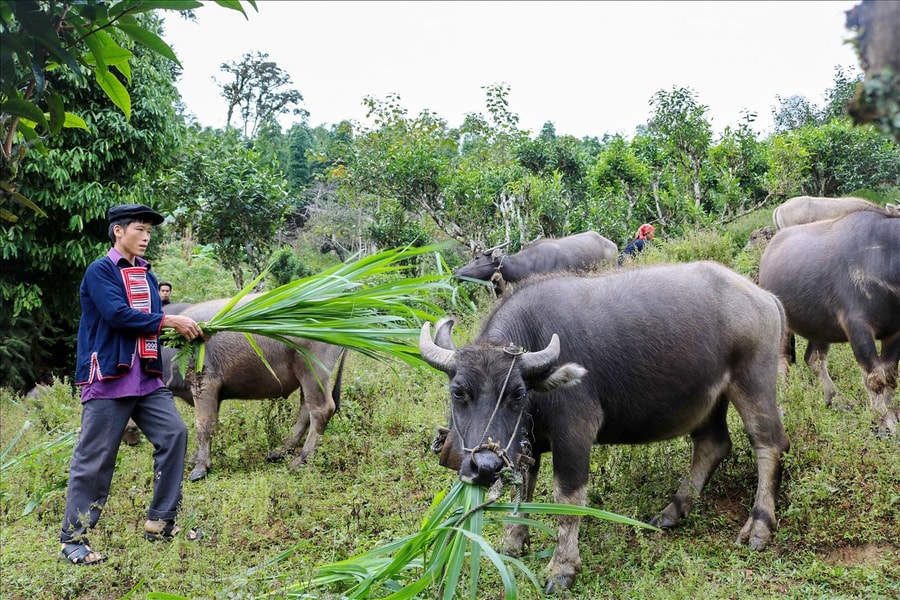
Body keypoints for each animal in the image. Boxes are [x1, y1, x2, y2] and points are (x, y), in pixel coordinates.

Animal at [162, 296, 344, 482]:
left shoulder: (206, 383)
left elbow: (204, 424)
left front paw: (200, 467)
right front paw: (195, 458)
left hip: (313, 370)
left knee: (321, 410)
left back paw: (299, 460)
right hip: (305, 375)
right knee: (306, 409)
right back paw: (281, 451)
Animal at [420, 262, 788, 592]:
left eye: (518, 393)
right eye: (458, 391)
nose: (484, 466)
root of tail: (766, 298)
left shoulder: (574, 433)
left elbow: (567, 500)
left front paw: (562, 568)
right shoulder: (525, 444)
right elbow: (522, 491)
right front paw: (513, 542)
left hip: (753, 381)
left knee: (769, 443)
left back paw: (759, 524)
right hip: (709, 398)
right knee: (713, 444)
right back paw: (673, 510)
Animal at [760, 209, 900, 434]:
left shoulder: (895, 331)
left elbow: (890, 376)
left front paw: (893, 416)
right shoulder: (857, 328)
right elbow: (875, 378)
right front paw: (884, 422)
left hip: (819, 327)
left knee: (813, 359)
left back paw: (835, 400)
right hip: (784, 325)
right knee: (783, 361)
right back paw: (783, 403)